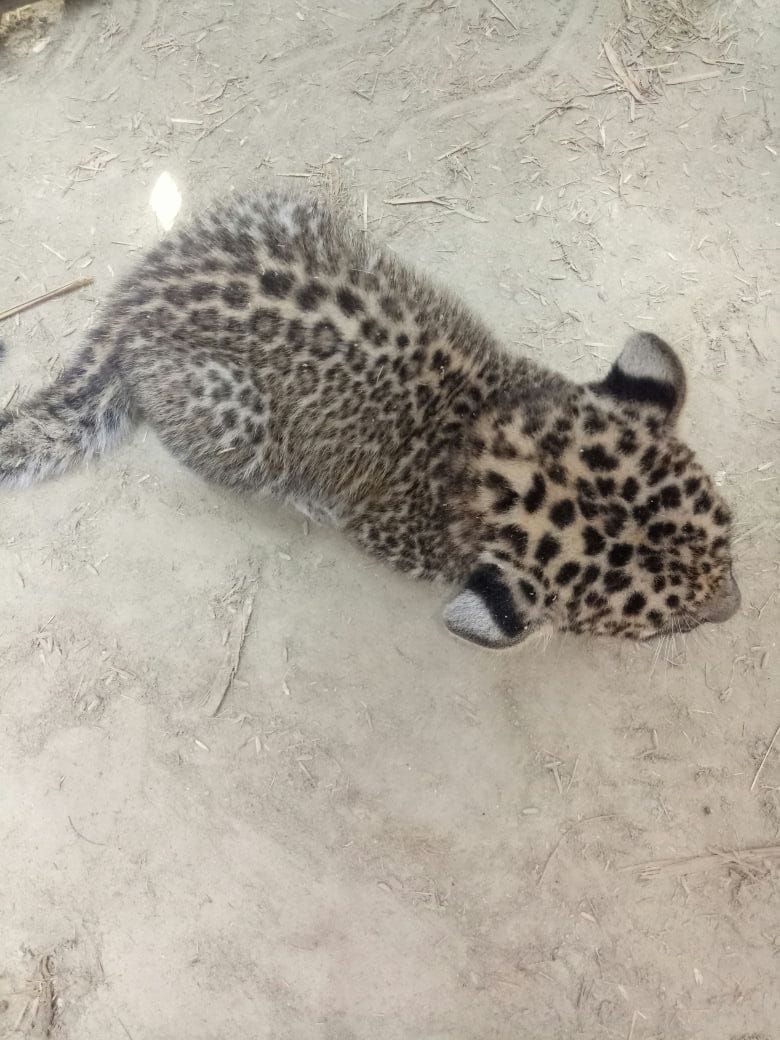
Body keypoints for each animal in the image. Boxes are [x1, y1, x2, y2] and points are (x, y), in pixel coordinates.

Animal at [0, 190, 740, 648]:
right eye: (665, 625)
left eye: (727, 535)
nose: (734, 609)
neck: (488, 432)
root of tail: (132, 306)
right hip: (235, 415)